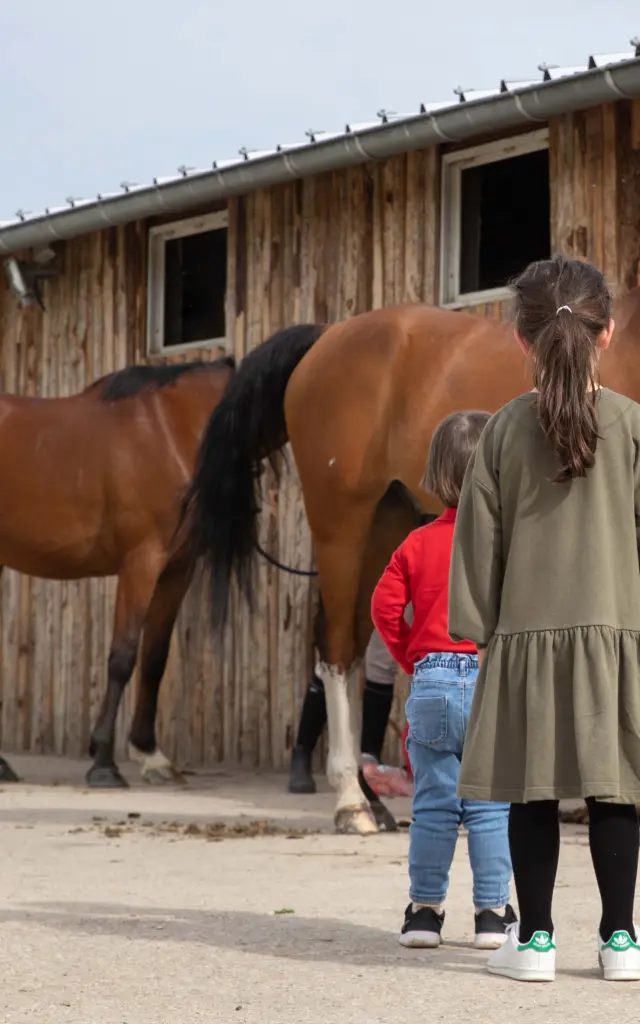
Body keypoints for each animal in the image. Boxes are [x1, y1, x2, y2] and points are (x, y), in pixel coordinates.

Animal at [0, 355, 235, 788]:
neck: (173, 428)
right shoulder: (141, 561)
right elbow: (123, 656)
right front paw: (104, 764)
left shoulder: (177, 569)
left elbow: (155, 657)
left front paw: (151, 755)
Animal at [182, 290, 640, 833]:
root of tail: (327, 337)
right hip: (342, 526)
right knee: (336, 649)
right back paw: (351, 802)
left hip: (386, 524)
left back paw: (371, 799)